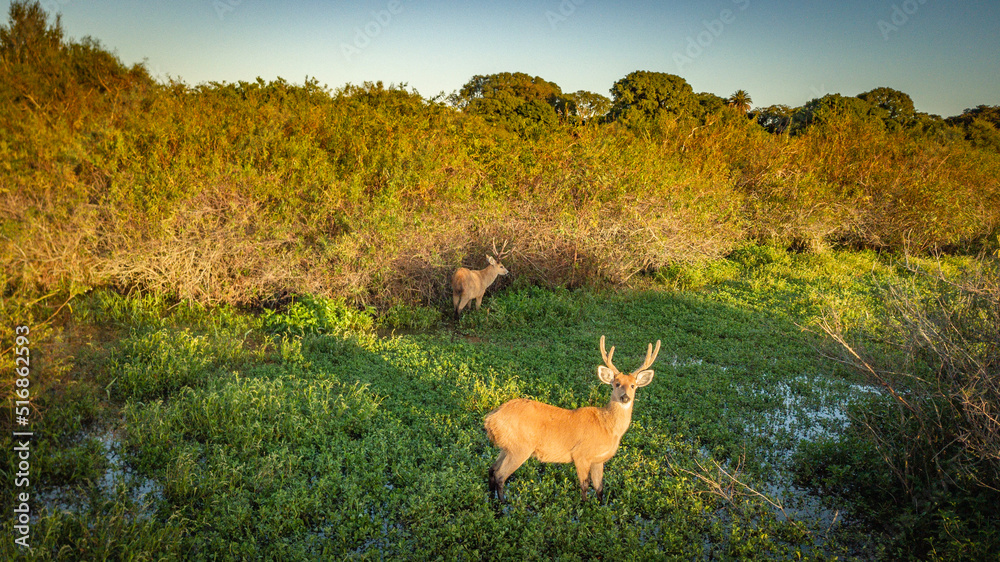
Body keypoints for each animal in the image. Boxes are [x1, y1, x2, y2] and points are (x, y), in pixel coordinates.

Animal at [484, 335, 660, 502]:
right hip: (520, 447)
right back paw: (503, 505)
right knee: (500, 475)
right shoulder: (581, 455)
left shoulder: (598, 460)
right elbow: (584, 486)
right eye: (616, 384)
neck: (608, 427)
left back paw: (492, 501)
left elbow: (599, 489)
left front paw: (599, 507)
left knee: (491, 469)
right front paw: (584, 508)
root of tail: (490, 419)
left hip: (507, 447)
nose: (625, 398)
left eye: (633, 385)